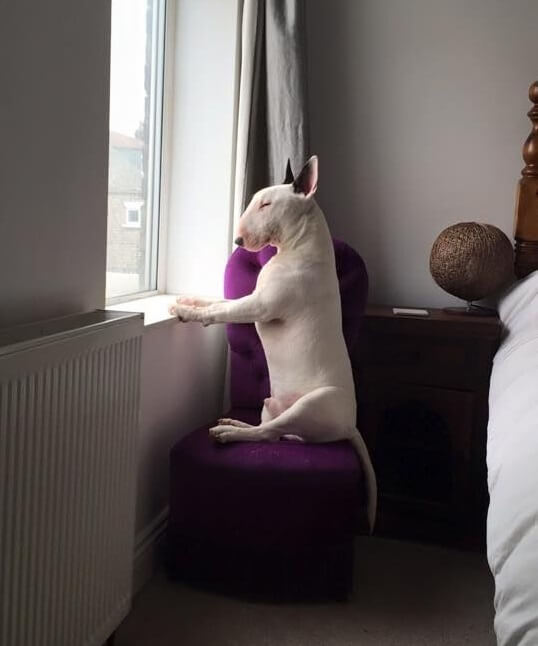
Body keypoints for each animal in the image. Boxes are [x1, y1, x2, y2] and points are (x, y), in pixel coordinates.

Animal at [170, 157, 374, 532]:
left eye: (266, 205)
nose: (238, 239)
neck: (299, 250)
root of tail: (350, 426)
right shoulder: (251, 295)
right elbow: (218, 300)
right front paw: (189, 300)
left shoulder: (260, 306)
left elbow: (222, 310)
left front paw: (186, 312)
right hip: (271, 405)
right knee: (272, 431)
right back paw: (235, 424)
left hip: (315, 403)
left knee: (268, 436)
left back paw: (228, 434)